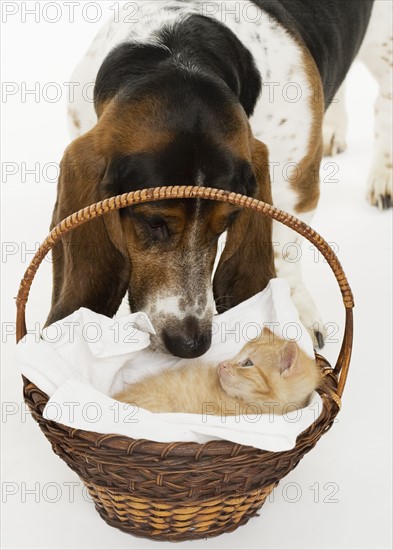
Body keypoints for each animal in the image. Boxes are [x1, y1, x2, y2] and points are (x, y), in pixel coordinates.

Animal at [47, 0, 390, 360]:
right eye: (154, 222)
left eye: (225, 224)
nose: (191, 345)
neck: (178, 51)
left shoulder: (295, 189)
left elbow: (284, 253)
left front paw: (292, 312)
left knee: (384, 103)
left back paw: (383, 175)